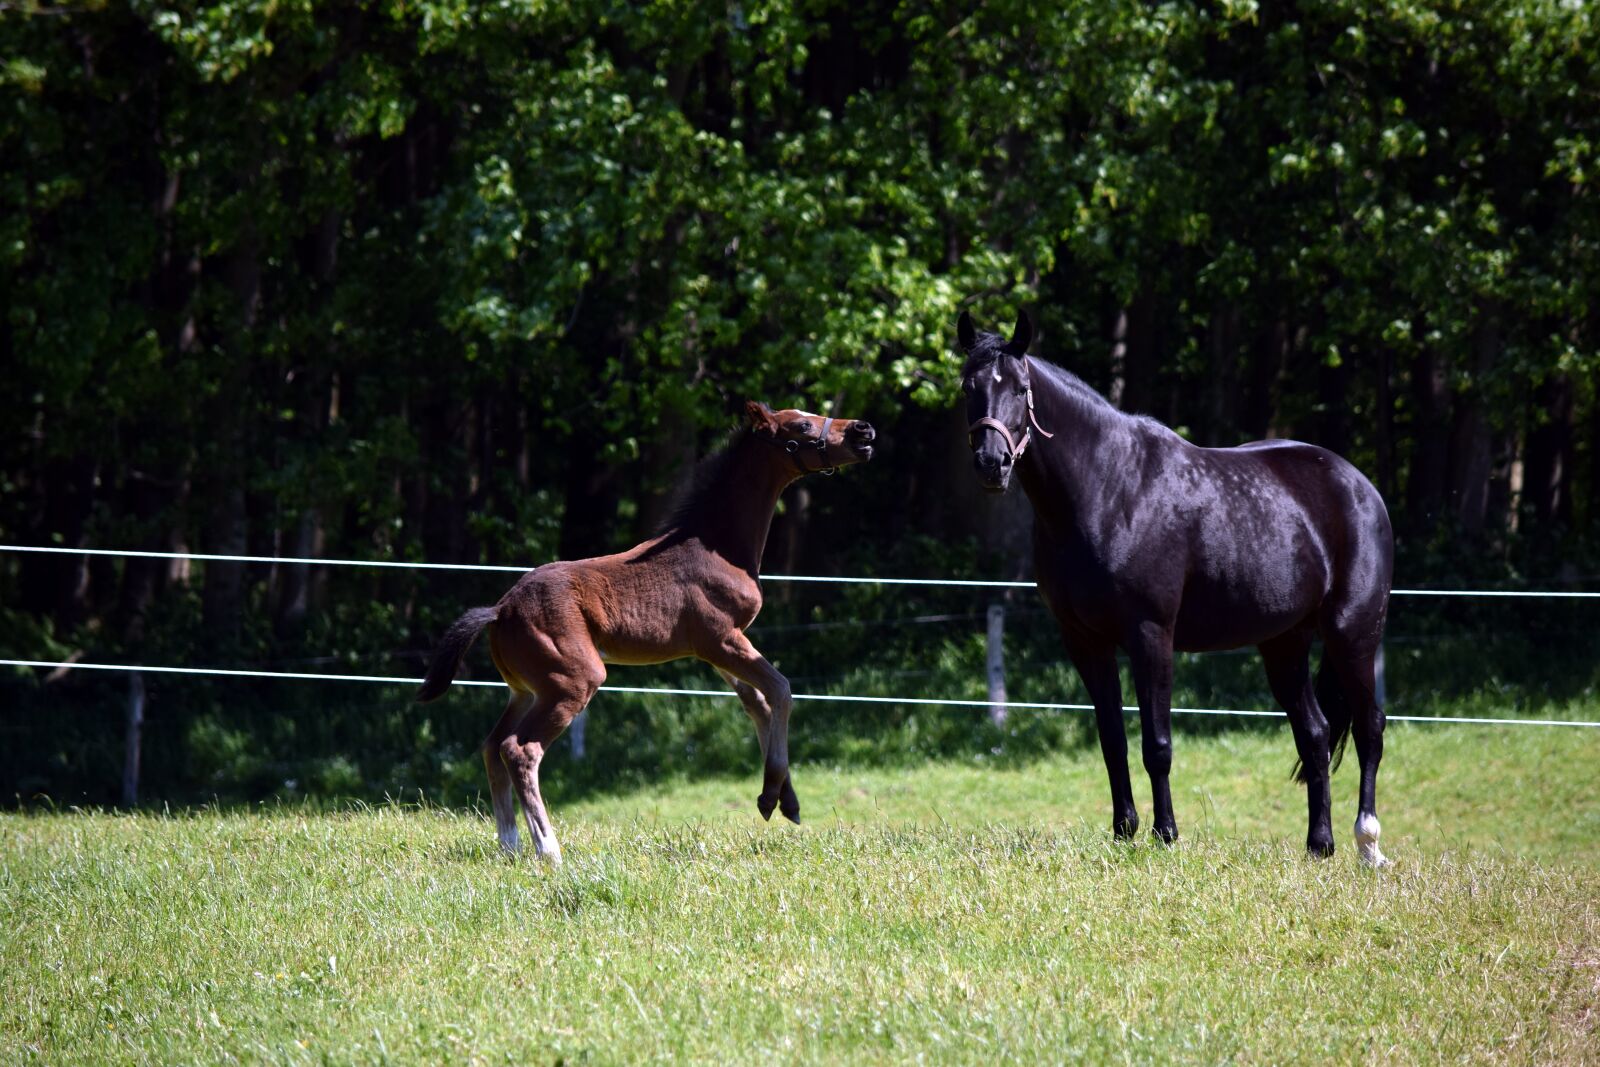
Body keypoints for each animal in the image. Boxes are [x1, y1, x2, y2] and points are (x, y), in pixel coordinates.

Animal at [417, 401, 876, 862]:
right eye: (801, 426)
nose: (863, 430)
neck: (717, 547)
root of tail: (500, 609)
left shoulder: (717, 649)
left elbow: (757, 703)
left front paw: (786, 802)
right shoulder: (720, 639)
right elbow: (781, 690)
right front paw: (768, 797)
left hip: (526, 689)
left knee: (492, 746)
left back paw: (510, 845)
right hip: (573, 680)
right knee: (520, 750)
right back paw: (548, 850)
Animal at [957, 310, 1393, 865]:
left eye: (1017, 388)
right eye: (969, 386)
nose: (992, 463)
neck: (1108, 488)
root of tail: (1360, 486)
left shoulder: (1151, 635)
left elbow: (1157, 744)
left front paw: (1165, 834)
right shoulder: (1085, 642)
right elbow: (1112, 740)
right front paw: (1124, 831)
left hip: (1351, 633)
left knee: (1369, 727)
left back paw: (1368, 843)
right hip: (1285, 644)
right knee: (1314, 734)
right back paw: (1320, 845)